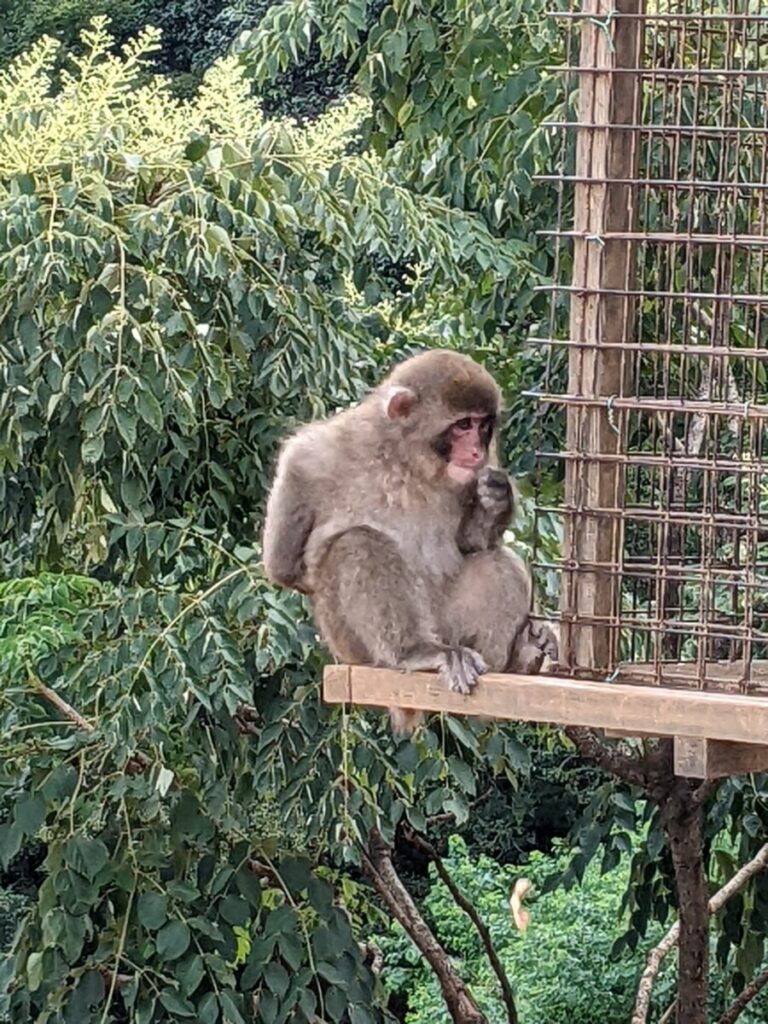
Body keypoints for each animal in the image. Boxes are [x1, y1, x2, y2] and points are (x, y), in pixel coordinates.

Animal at [264, 348, 561, 733]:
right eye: (463, 425)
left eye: (483, 426)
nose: (477, 452)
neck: (405, 459)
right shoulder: (312, 456)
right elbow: (281, 565)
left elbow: (471, 544)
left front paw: (497, 500)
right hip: (351, 647)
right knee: (357, 543)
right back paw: (414, 652)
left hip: (447, 625)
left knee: (496, 562)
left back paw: (515, 661)